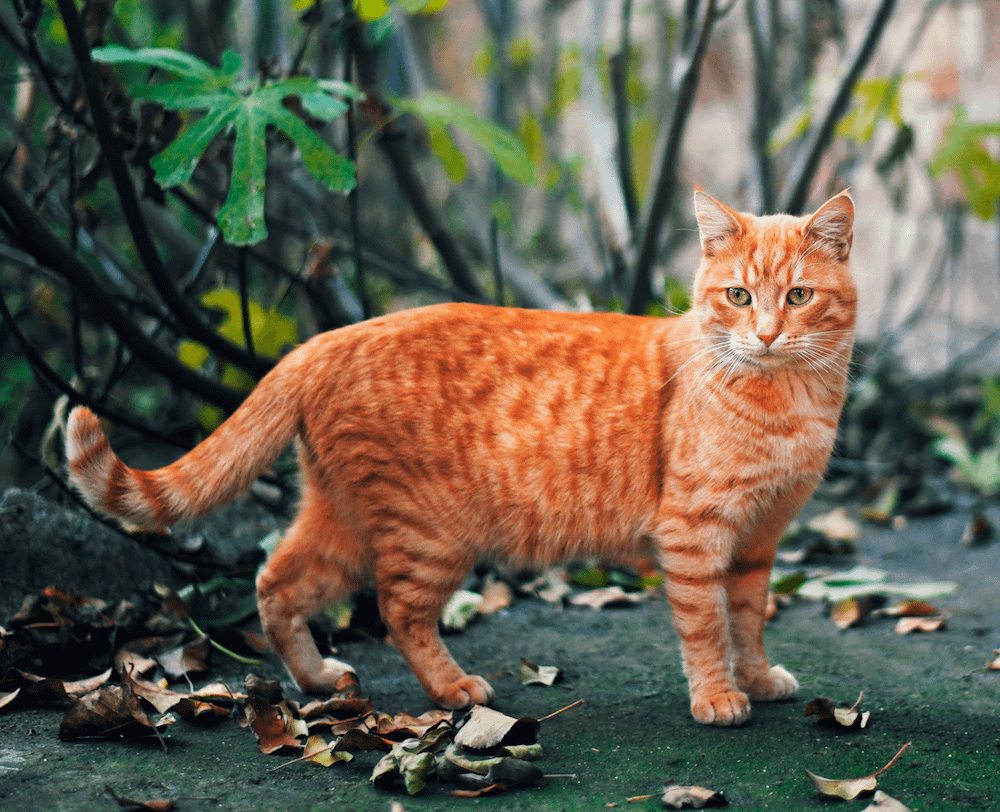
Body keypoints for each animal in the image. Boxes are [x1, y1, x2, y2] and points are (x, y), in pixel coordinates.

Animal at [66, 189, 856, 724]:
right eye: (738, 295)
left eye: (799, 295)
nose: (765, 334)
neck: (788, 404)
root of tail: (325, 339)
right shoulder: (694, 534)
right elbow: (706, 624)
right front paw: (718, 694)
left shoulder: (758, 539)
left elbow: (748, 618)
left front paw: (756, 679)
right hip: (432, 534)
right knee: (396, 609)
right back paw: (451, 688)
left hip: (341, 522)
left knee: (276, 580)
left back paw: (318, 679)